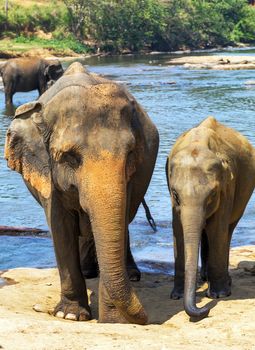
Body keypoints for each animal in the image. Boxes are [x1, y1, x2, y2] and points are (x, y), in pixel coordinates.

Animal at [4, 61, 158, 324]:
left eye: (130, 154)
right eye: (69, 157)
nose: (146, 318)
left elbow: (118, 218)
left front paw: (114, 320)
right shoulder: (48, 176)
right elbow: (60, 226)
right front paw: (69, 315)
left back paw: (130, 275)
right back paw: (88, 272)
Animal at [166, 117, 255, 320]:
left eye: (212, 194)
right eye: (176, 194)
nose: (204, 309)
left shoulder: (227, 187)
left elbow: (217, 229)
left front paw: (218, 295)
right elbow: (178, 229)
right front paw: (177, 295)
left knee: (227, 231)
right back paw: (205, 278)